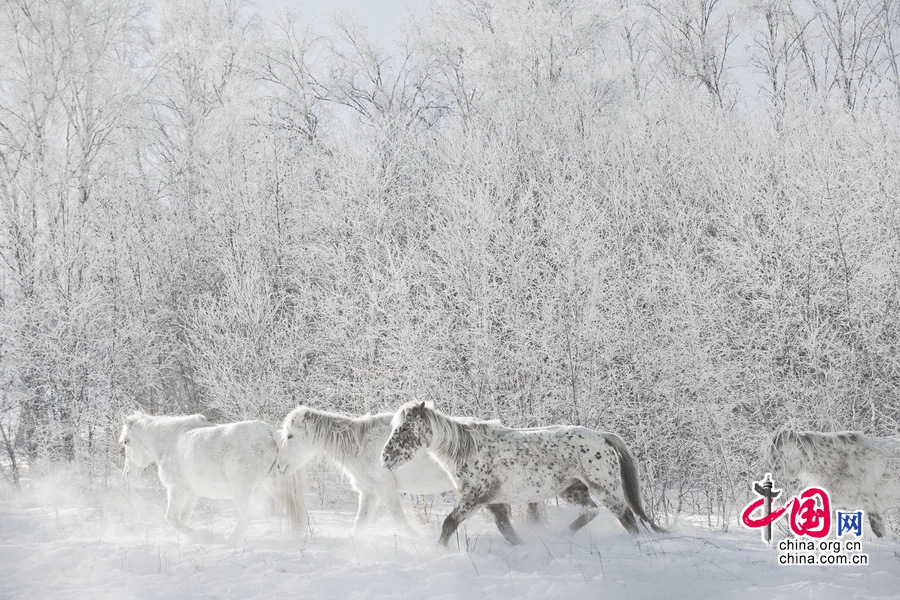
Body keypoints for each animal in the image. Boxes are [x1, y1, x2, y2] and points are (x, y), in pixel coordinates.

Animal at [119, 414, 306, 540]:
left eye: (126, 441)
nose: (127, 473)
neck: (170, 441)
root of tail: (272, 432)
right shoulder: (191, 493)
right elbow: (183, 518)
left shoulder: (176, 489)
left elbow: (171, 518)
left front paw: (201, 535)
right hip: (272, 485)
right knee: (293, 508)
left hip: (241, 490)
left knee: (246, 515)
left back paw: (231, 541)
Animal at [274, 406, 544, 532]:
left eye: (290, 436)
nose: (279, 466)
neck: (361, 444)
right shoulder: (369, 494)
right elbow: (360, 526)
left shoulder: (386, 491)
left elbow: (401, 523)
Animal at [380, 400, 668, 548]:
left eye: (404, 429)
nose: (385, 457)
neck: (468, 450)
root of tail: (602, 437)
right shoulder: (493, 502)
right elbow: (507, 530)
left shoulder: (472, 498)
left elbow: (449, 524)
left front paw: (439, 551)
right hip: (573, 490)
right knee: (591, 512)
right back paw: (561, 536)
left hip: (605, 489)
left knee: (627, 517)